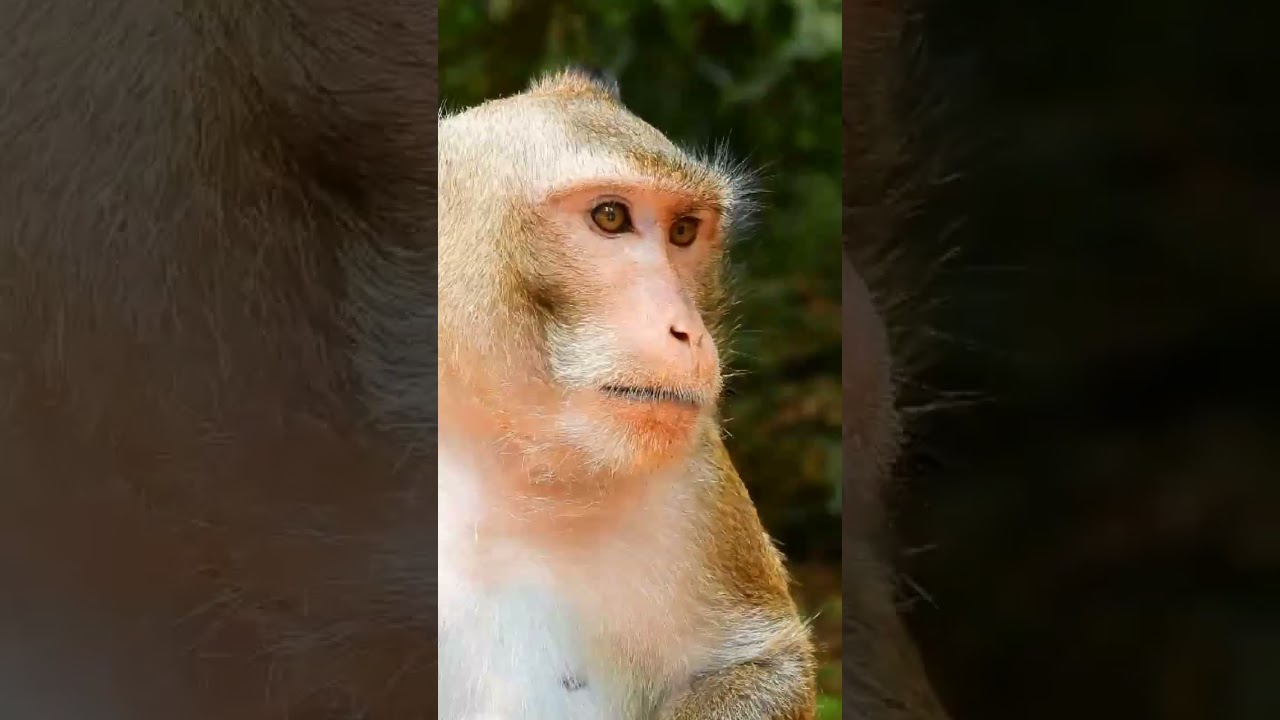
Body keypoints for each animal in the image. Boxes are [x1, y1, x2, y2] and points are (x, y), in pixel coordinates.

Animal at [437, 68, 817, 719]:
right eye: (611, 217)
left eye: (684, 231)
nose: (687, 330)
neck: (509, 459)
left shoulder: (695, 476)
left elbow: (771, 665)